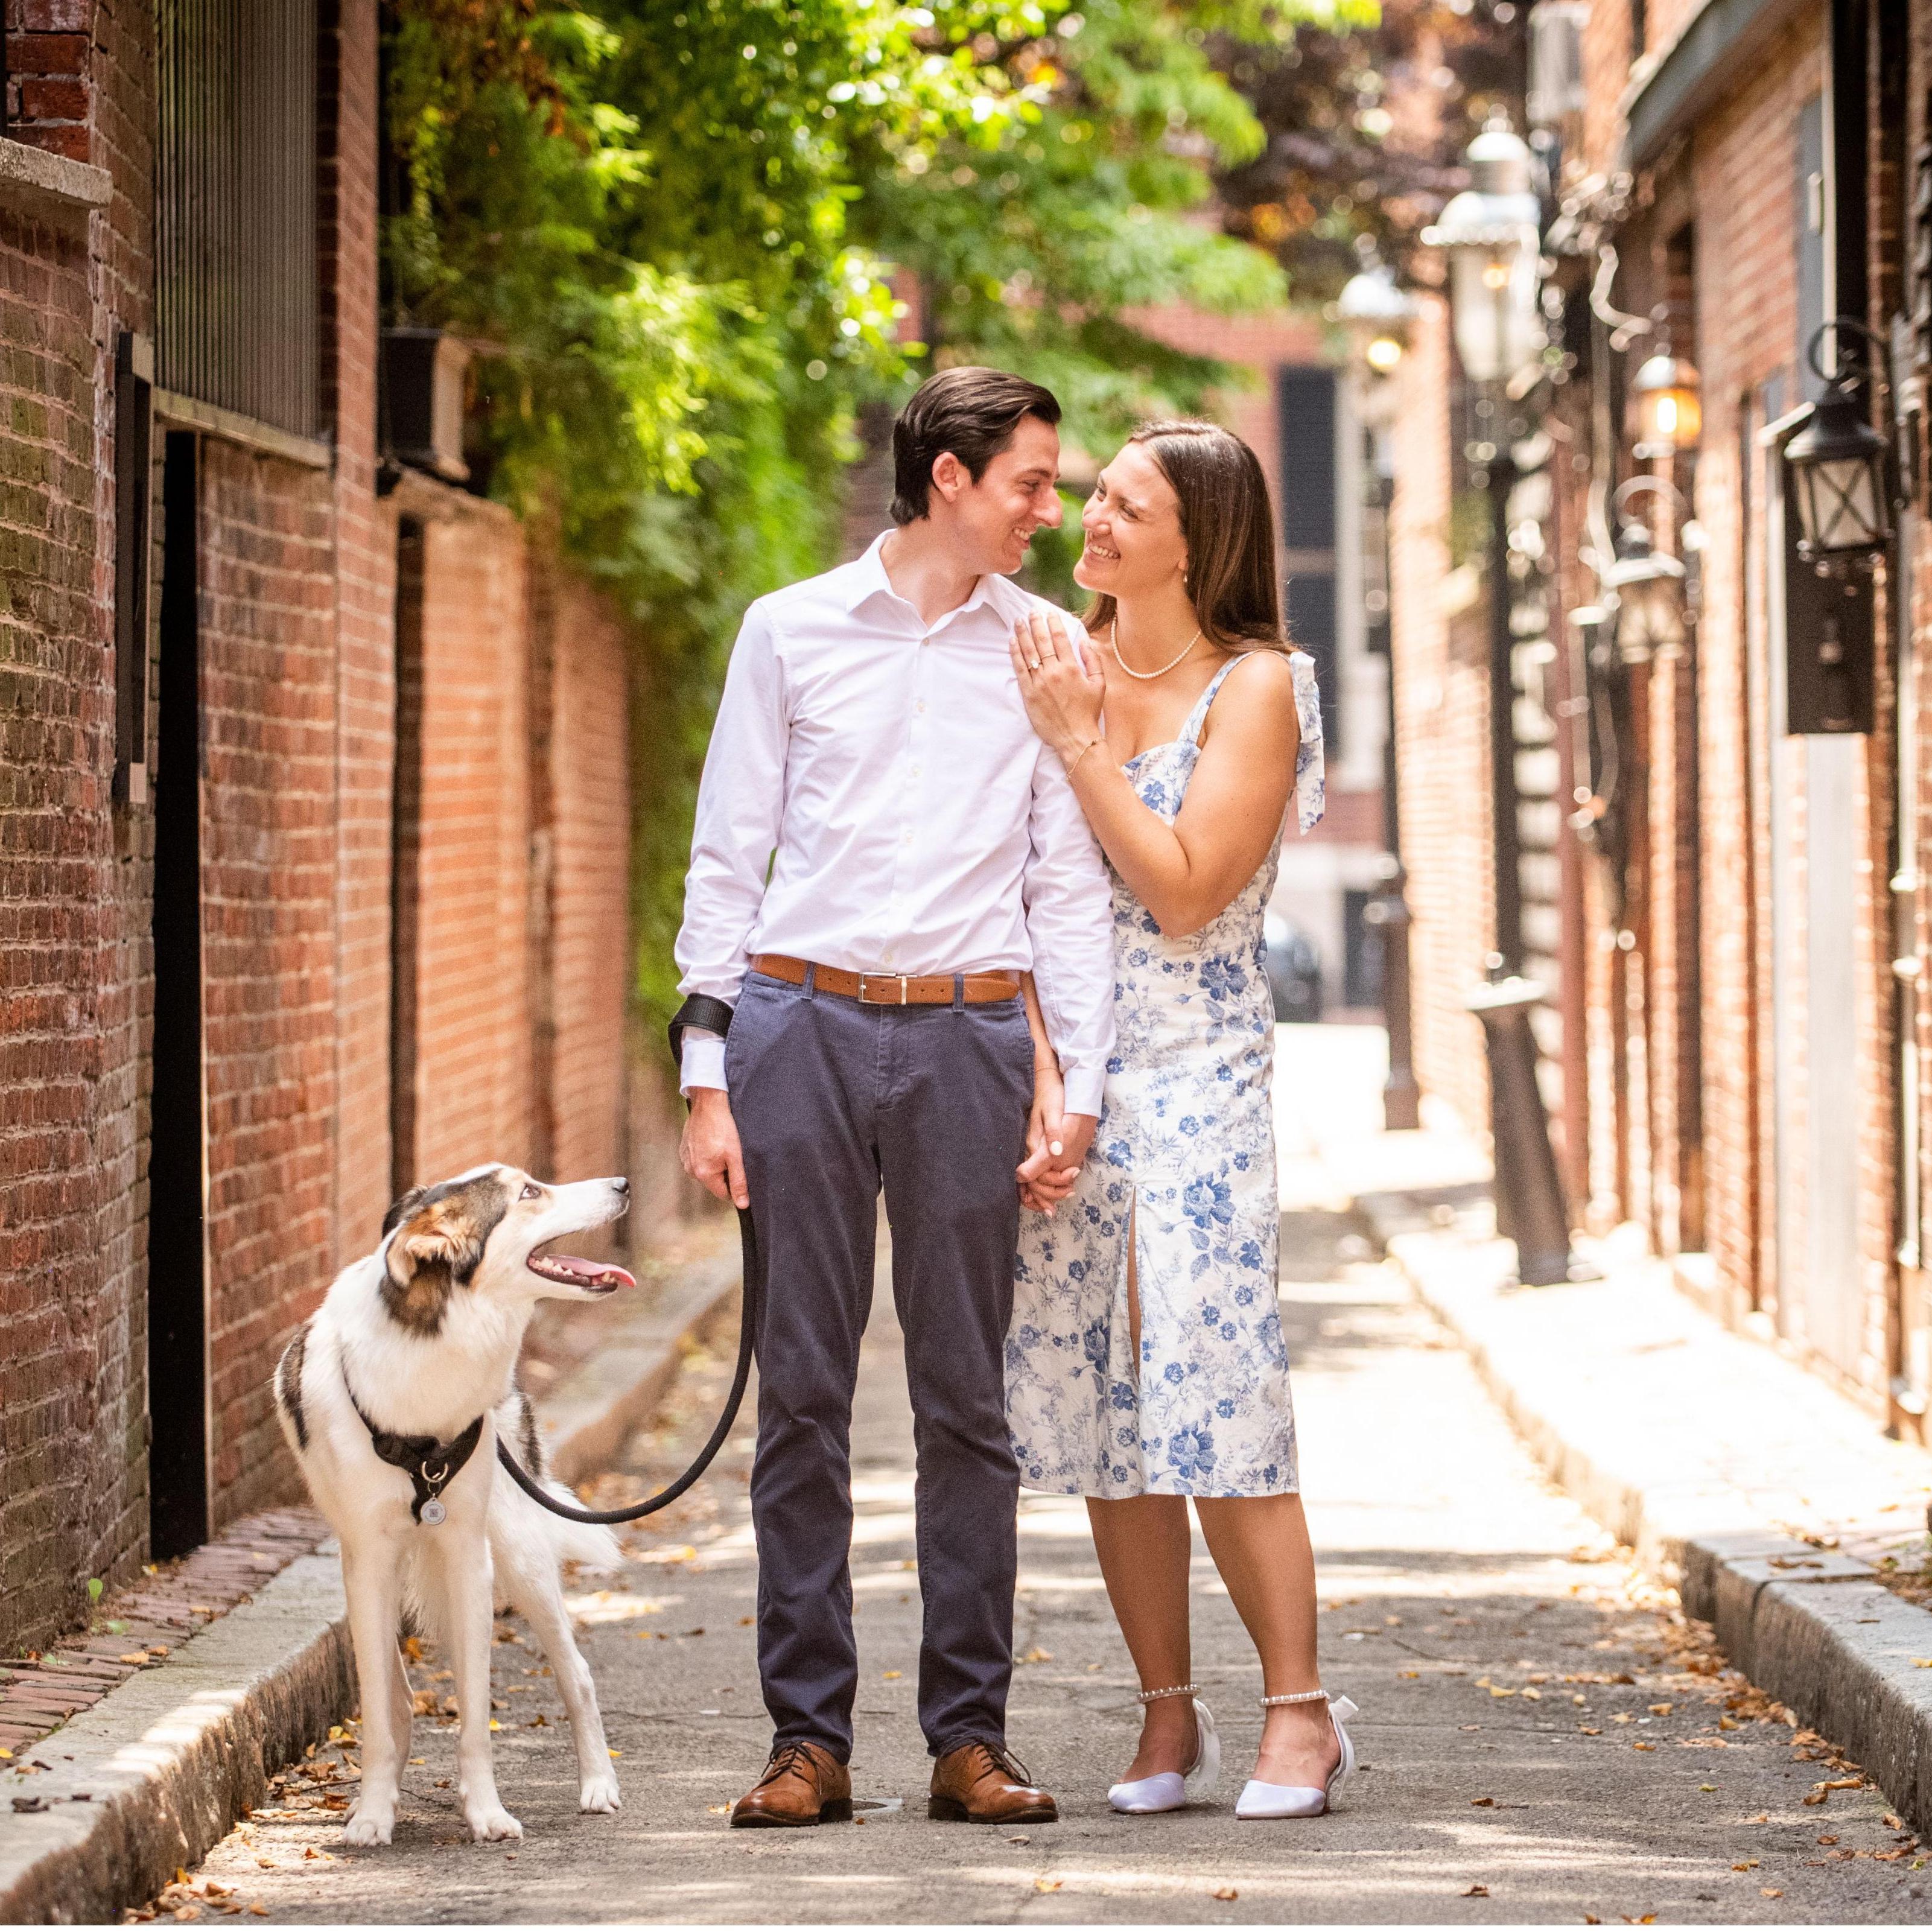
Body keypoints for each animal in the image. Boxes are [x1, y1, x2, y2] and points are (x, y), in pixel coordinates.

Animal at [278, 1159, 634, 1839]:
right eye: (529, 1193)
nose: (625, 1185)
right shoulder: (369, 1561)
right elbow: (380, 1711)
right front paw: (373, 1813)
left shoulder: (470, 1557)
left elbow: (474, 1715)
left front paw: (486, 1812)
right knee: (392, 1693)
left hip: (520, 1556)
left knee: (576, 1674)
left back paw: (599, 1784)